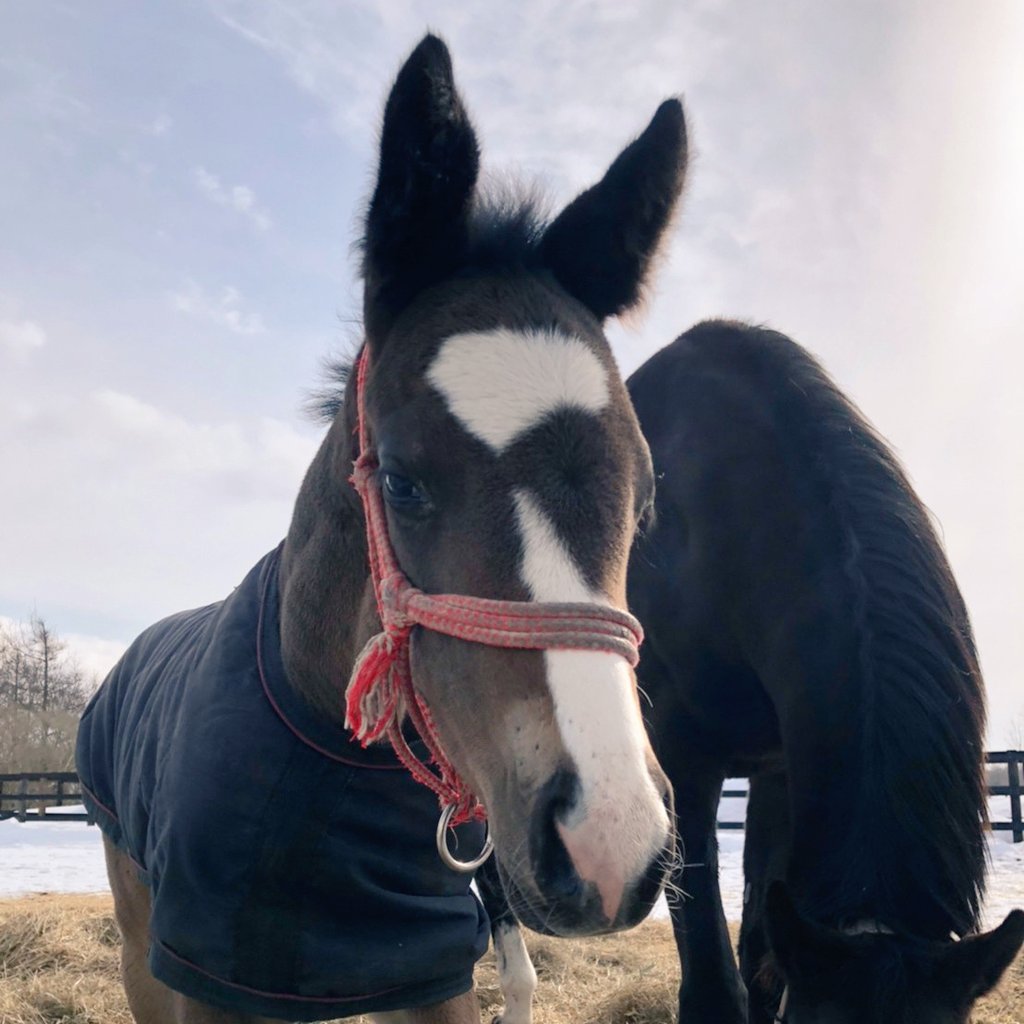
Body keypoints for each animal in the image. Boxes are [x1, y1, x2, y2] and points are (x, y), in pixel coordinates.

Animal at [75, 32, 688, 1024]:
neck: (324, 747)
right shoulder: (200, 973)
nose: (610, 840)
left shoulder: (426, 972)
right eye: (400, 480)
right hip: (138, 941)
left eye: (644, 502)